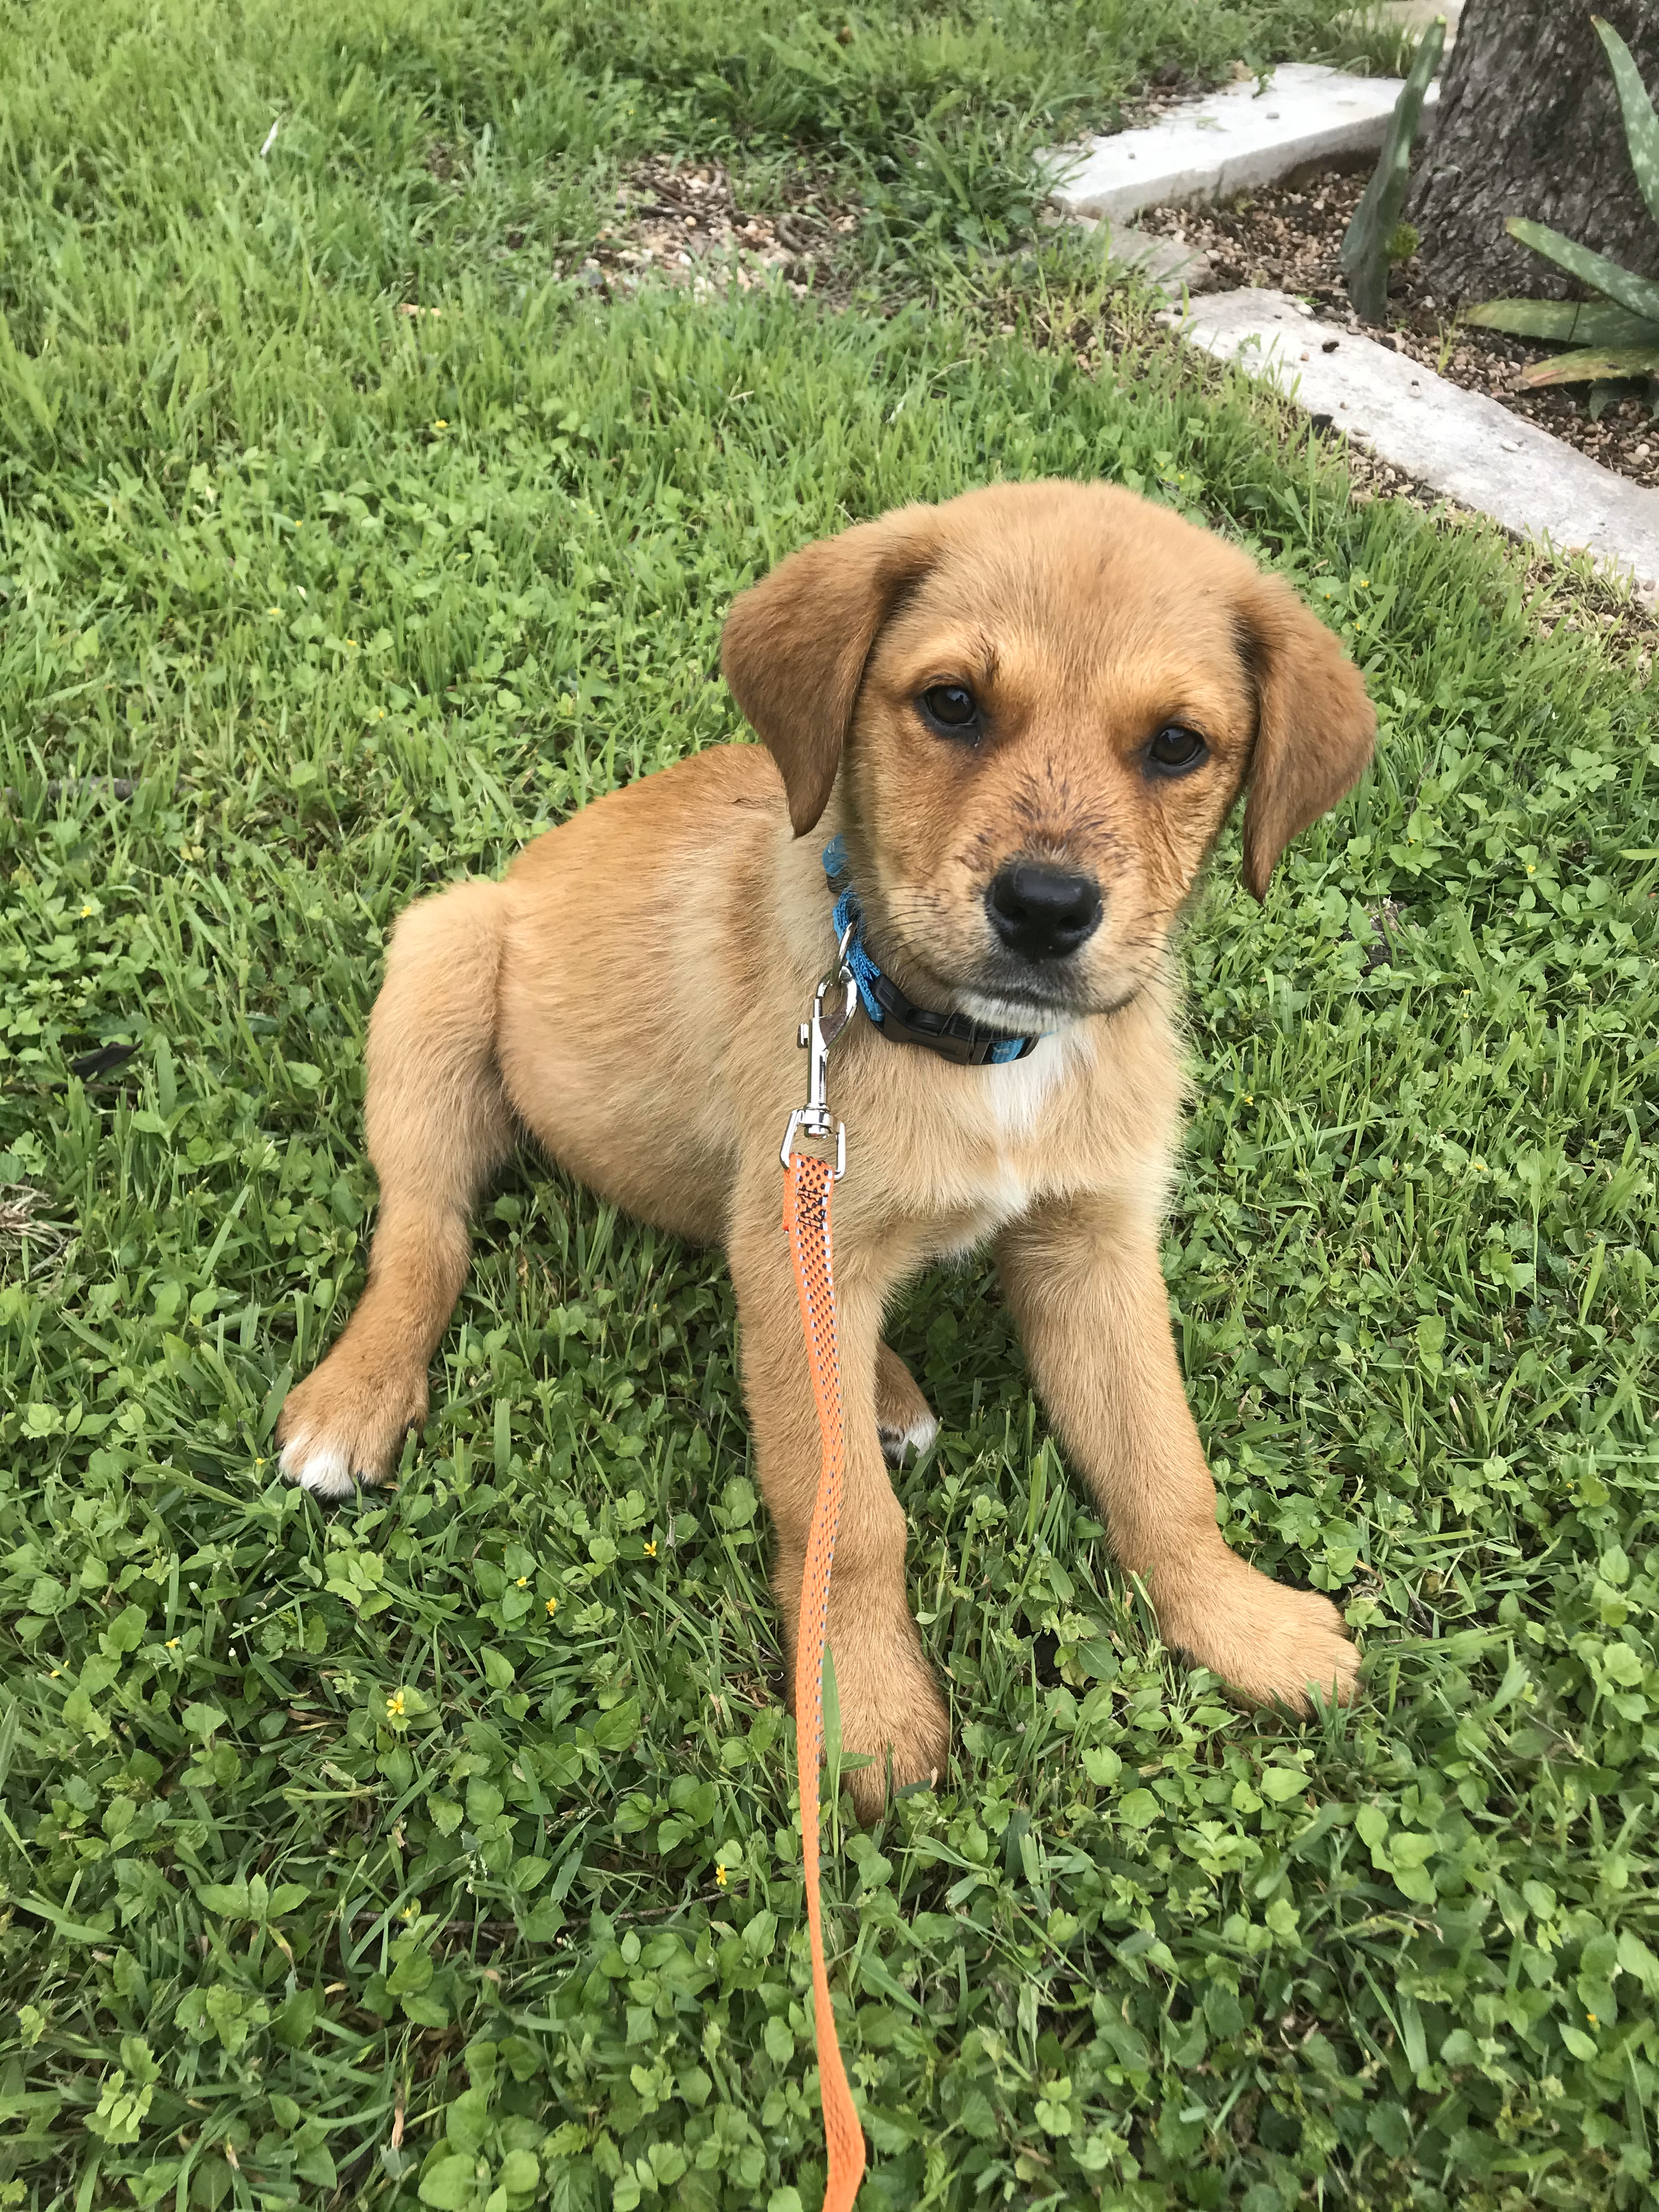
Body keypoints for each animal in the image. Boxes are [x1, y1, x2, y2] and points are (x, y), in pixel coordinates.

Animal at [283, 479, 1380, 1814]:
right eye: (950, 703)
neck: (970, 1050)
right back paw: (356, 1395)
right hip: (444, 960)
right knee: (423, 1234)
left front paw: (1238, 1622)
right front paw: (865, 1705)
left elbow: (1162, 1464)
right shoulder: (809, 1237)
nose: (1047, 909)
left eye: (1177, 744)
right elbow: (843, 1517)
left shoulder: (1093, 1243)